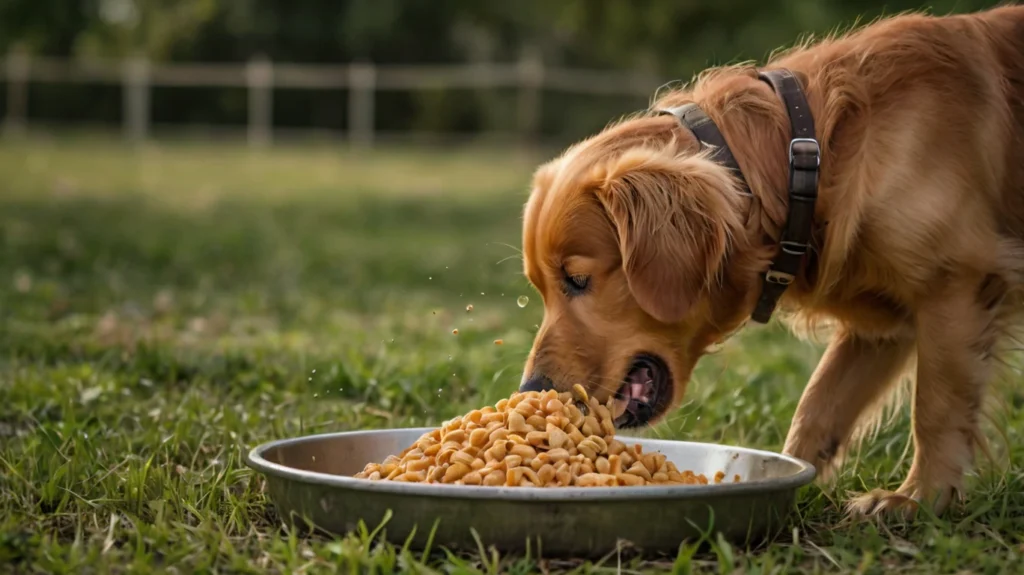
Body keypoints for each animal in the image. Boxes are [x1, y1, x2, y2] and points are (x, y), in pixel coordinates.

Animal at [520, 3, 1024, 515]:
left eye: (577, 279)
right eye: (540, 287)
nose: (532, 389)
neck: (811, 161)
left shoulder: (956, 285)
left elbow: (936, 408)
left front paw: (920, 498)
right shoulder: (883, 325)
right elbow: (818, 404)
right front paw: (792, 472)